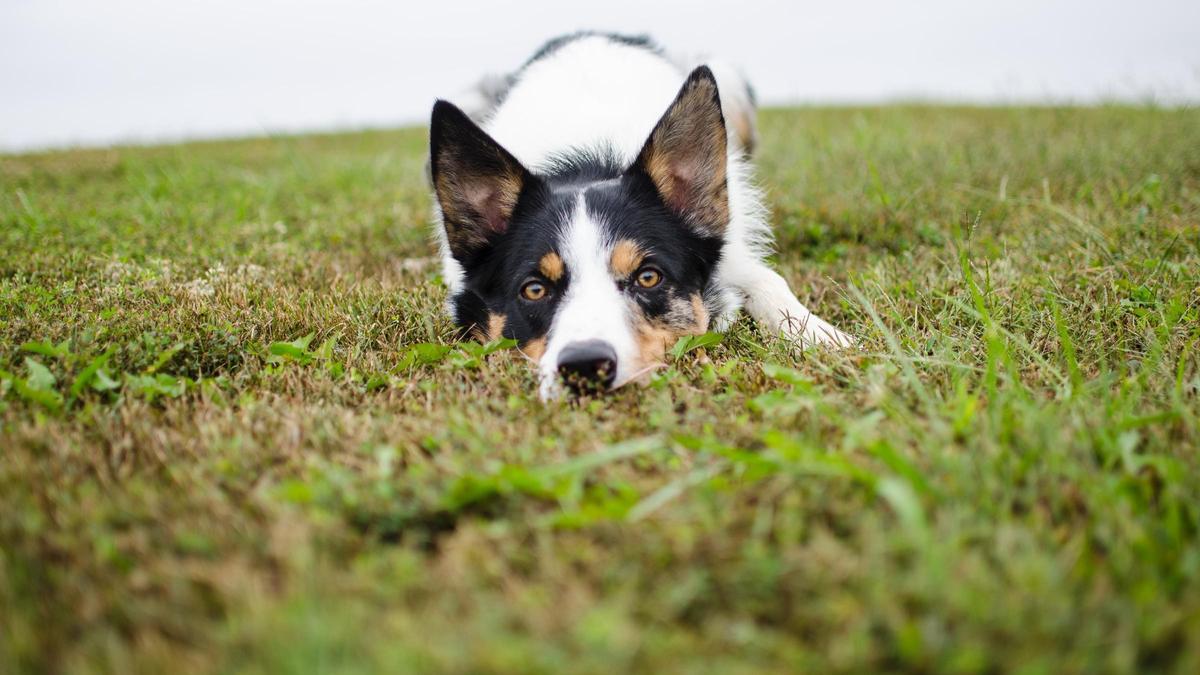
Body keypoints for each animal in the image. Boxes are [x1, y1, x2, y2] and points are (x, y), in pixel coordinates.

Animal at [432, 31, 854, 396]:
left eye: (648, 277)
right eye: (534, 289)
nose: (585, 367)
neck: (587, 163)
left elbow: (768, 281)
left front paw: (823, 337)